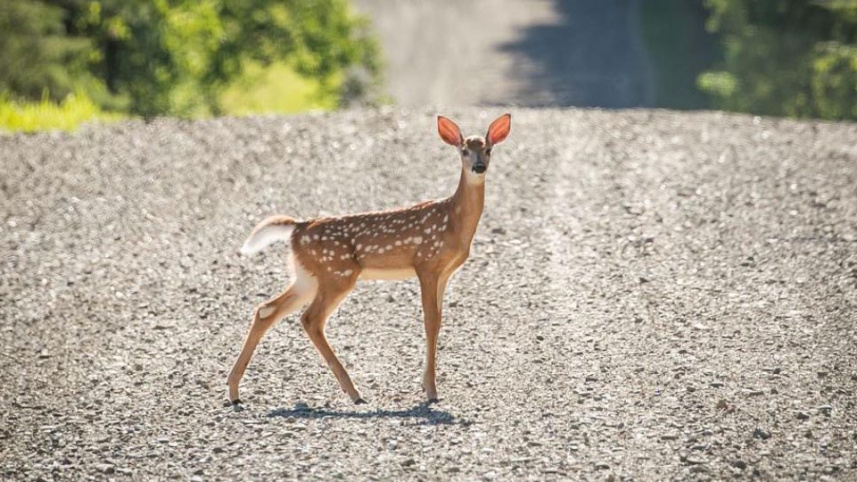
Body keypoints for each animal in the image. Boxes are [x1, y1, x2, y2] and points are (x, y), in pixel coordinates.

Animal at [227, 114, 511, 405]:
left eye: (488, 149)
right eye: (463, 150)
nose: (479, 166)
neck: (453, 221)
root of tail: (298, 227)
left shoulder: (445, 272)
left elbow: (439, 319)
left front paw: (426, 384)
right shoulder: (426, 263)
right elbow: (430, 320)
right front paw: (431, 390)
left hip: (307, 276)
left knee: (266, 309)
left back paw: (234, 391)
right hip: (337, 274)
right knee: (310, 319)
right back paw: (354, 392)